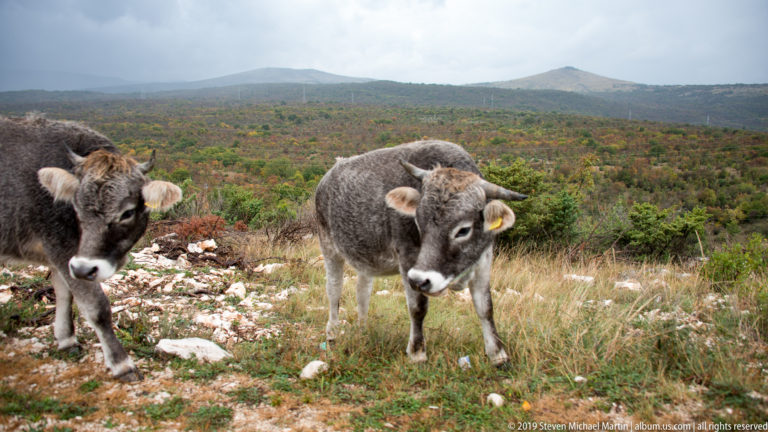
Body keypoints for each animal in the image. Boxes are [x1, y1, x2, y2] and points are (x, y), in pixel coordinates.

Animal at [0, 114, 182, 381]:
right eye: (76, 206)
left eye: (127, 212)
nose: (85, 270)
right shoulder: (61, 246)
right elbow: (96, 306)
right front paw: (121, 363)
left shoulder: (64, 254)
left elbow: (64, 293)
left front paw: (66, 339)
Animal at [315, 140, 527, 366]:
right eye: (418, 221)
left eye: (463, 230)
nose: (421, 280)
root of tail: (329, 175)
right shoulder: (408, 259)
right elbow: (417, 307)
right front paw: (417, 352)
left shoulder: (484, 259)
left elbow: (485, 307)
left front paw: (498, 354)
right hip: (329, 248)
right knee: (334, 289)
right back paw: (332, 332)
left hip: (366, 259)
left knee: (362, 290)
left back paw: (363, 329)